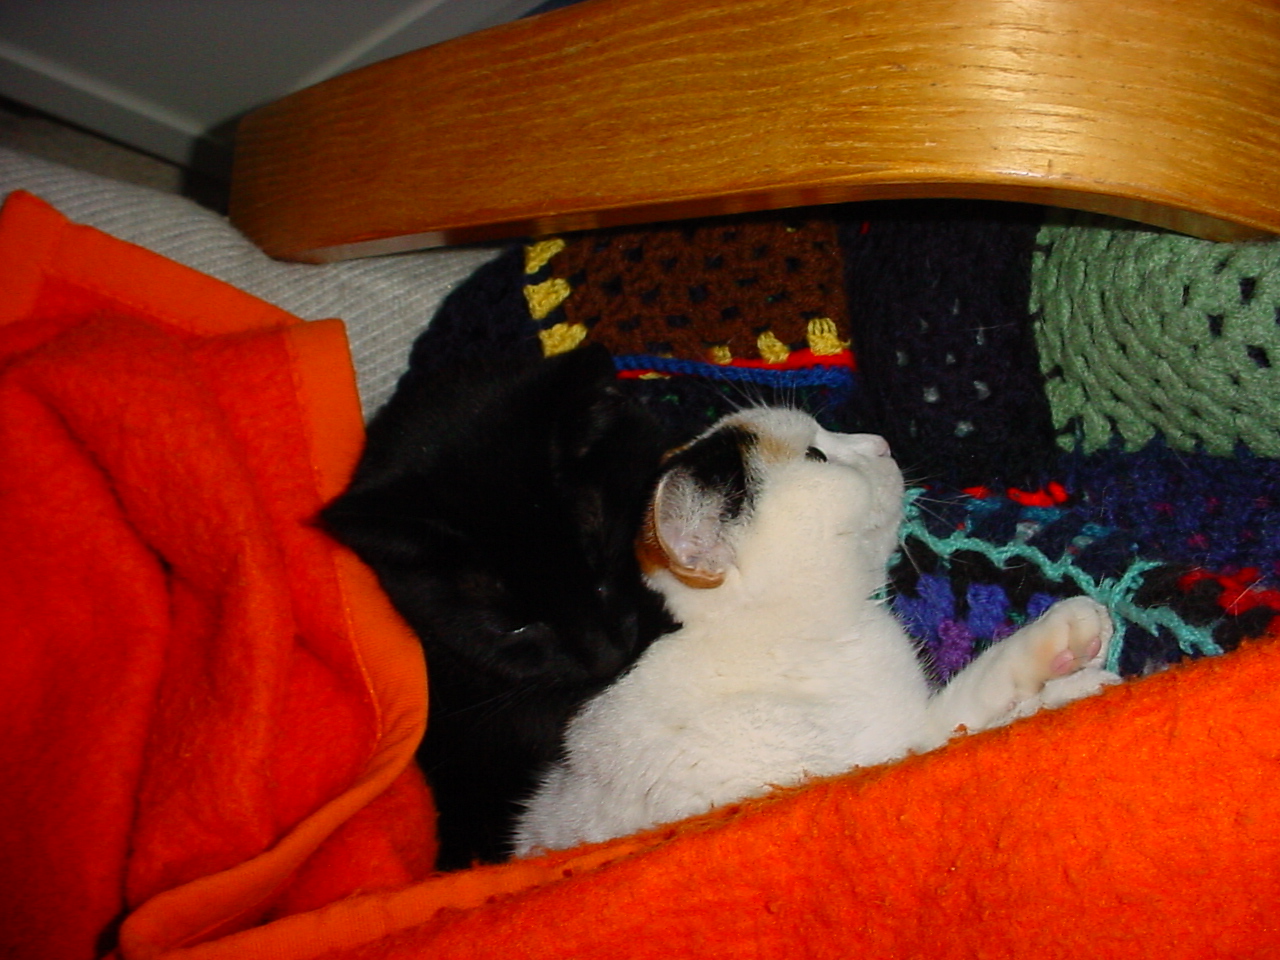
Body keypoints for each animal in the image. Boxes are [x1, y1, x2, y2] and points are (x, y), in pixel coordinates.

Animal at [514, 407, 1120, 855]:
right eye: (816, 455)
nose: (881, 442)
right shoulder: (878, 756)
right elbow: (960, 731)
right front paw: (1068, 689)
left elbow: (971, 702)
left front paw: (1066, 651)